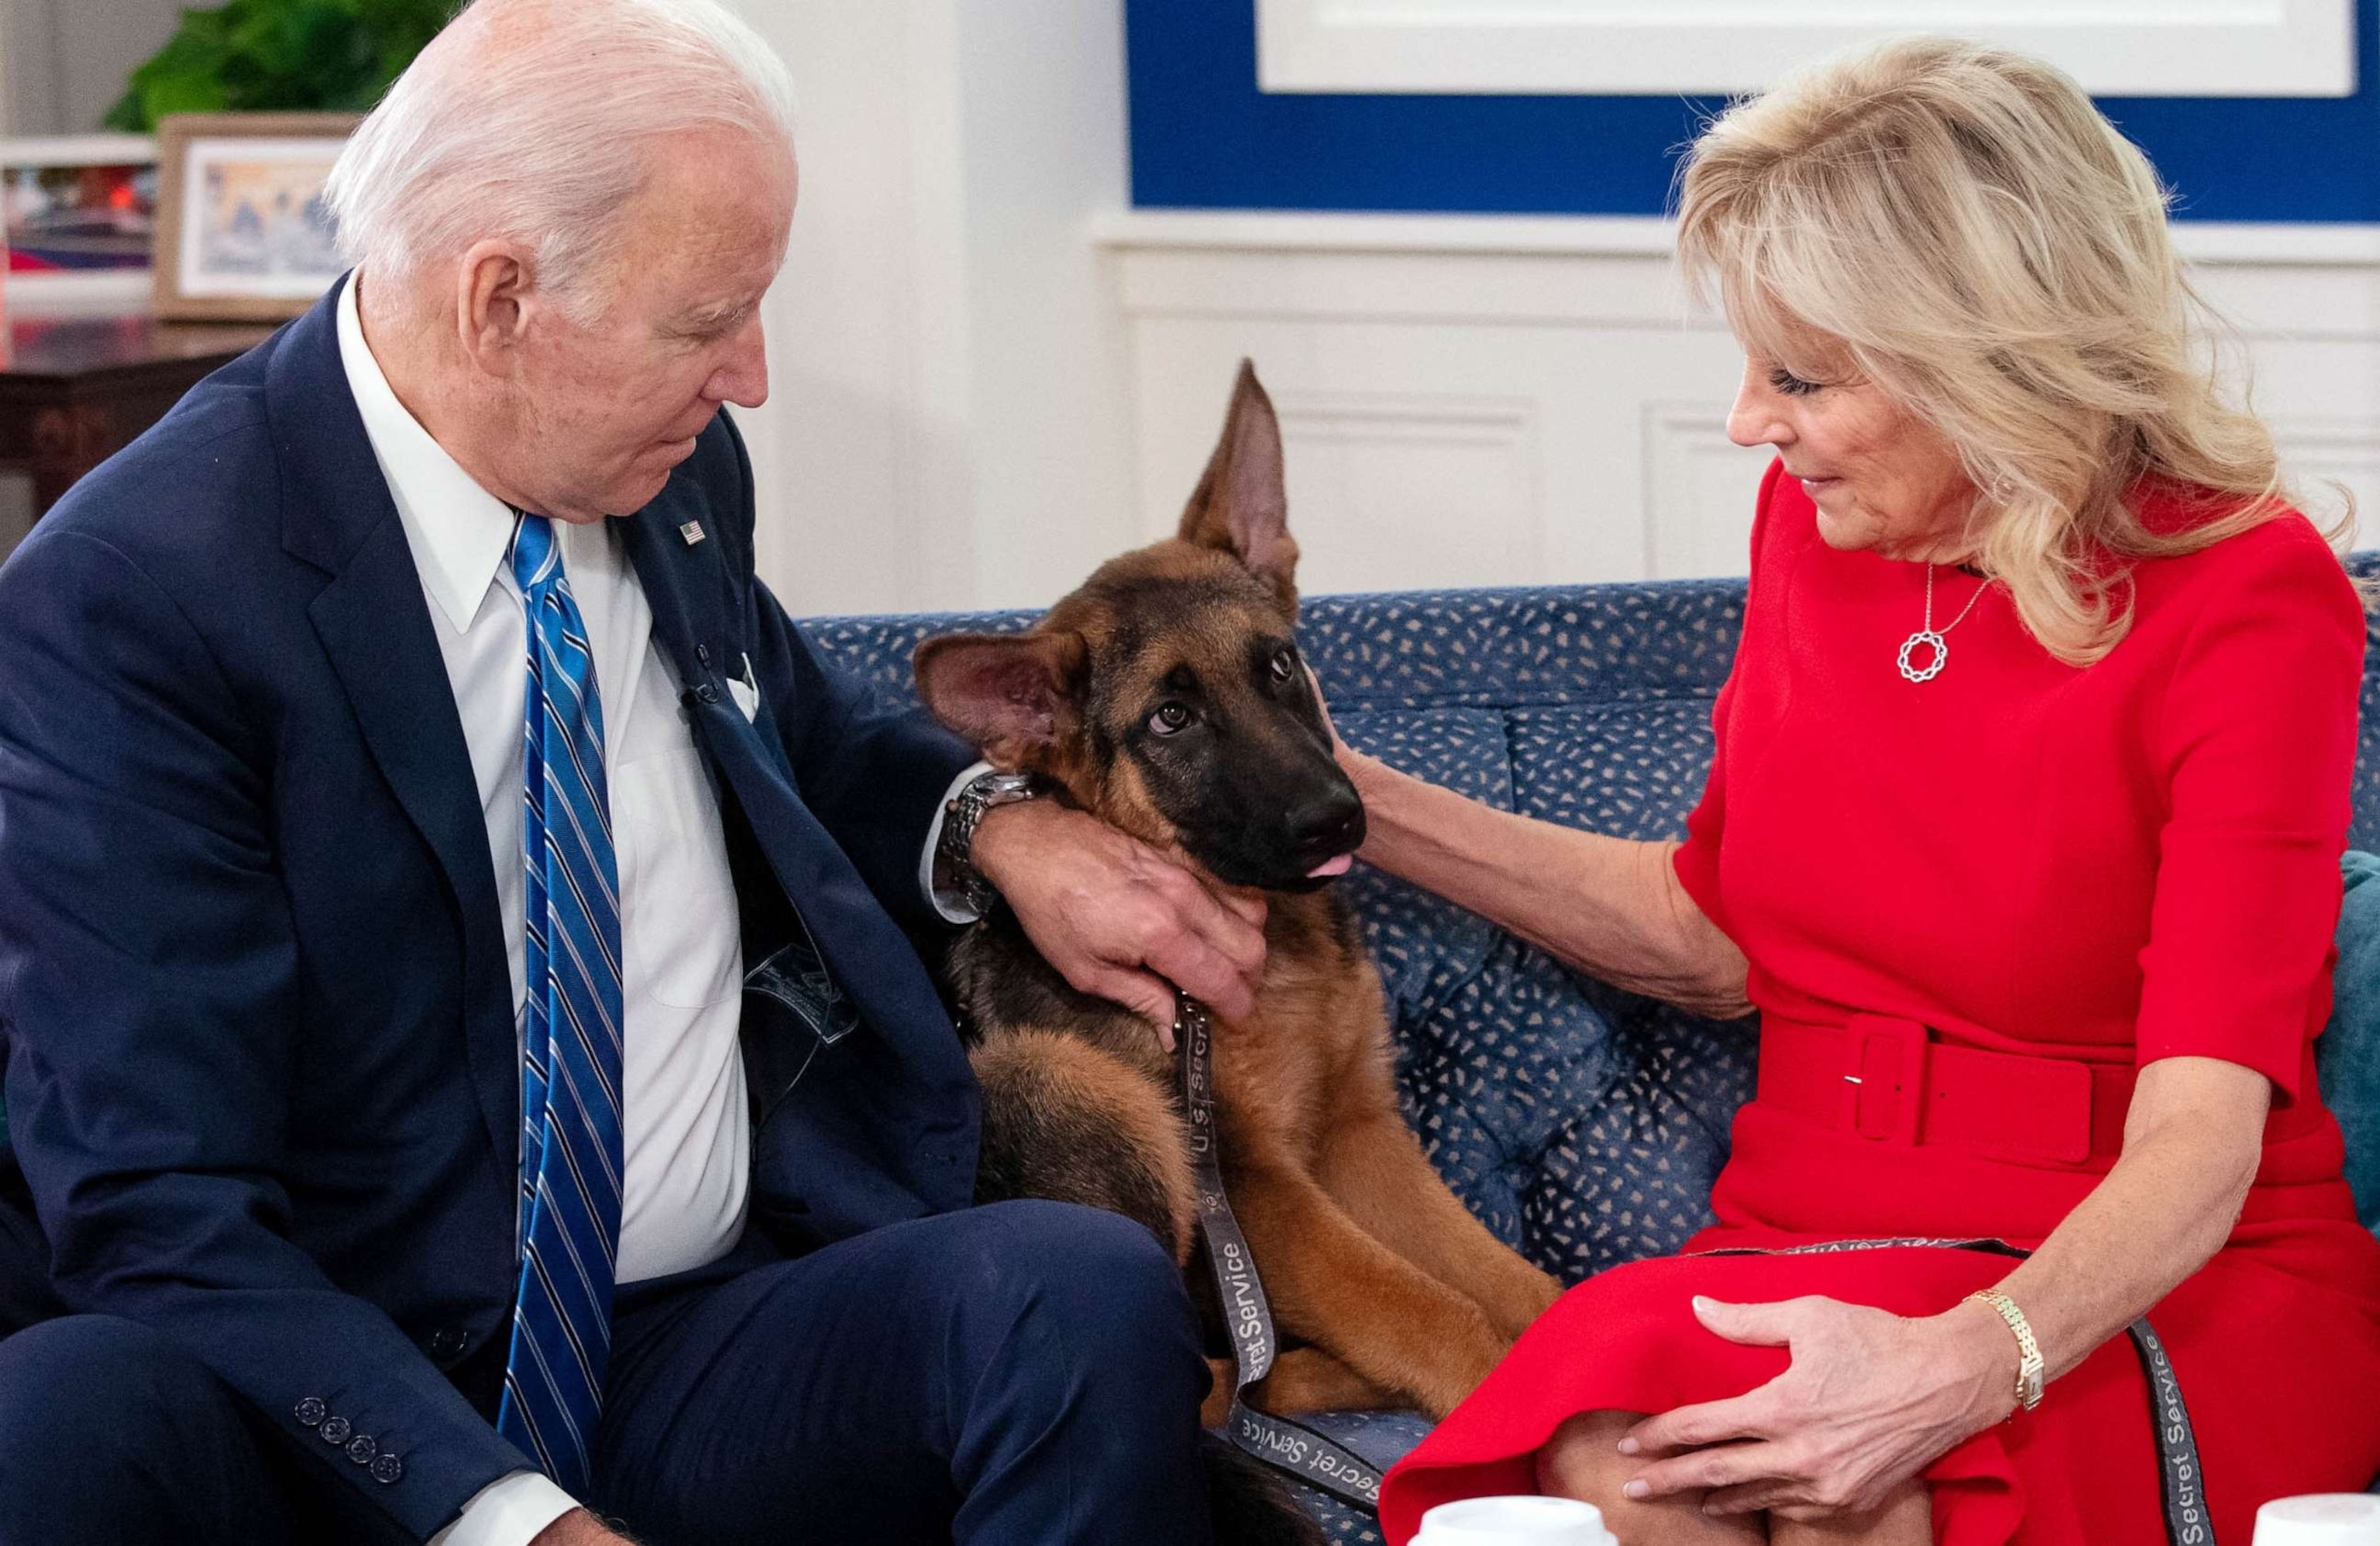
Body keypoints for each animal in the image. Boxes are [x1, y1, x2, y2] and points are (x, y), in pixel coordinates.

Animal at [909, 363, 1561, 1455]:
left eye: (1280, 665)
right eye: (1172, 718)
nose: (1336, 818)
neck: (1272, 945)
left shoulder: (1357, 1133)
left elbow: (1507, 1279)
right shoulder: (1258, 1186)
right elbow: (1428, 1307)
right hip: (1067, 1085)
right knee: (1211, 1385)